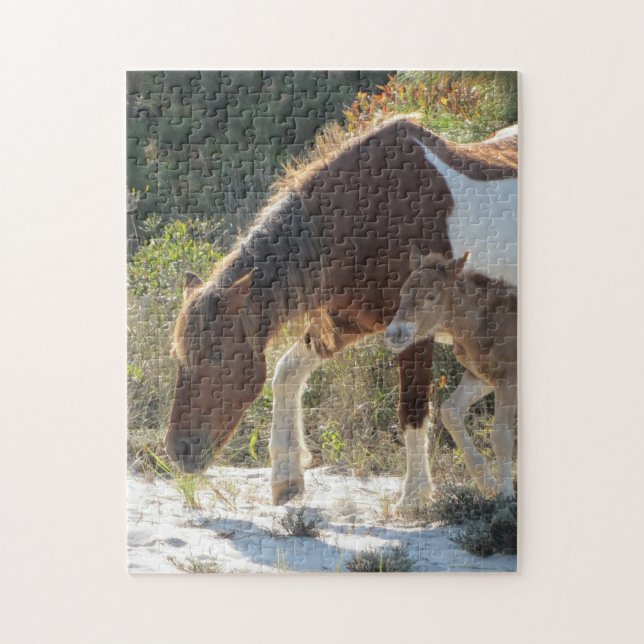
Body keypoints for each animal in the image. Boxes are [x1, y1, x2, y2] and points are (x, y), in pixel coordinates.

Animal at [385, 250, 517, 497]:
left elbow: (501, 436)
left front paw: (505, 495)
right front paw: (487, 483)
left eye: (431, 296)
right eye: (403, 291)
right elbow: (449, 410)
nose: (394, 333)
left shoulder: (509, 378)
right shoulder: (482, 376)